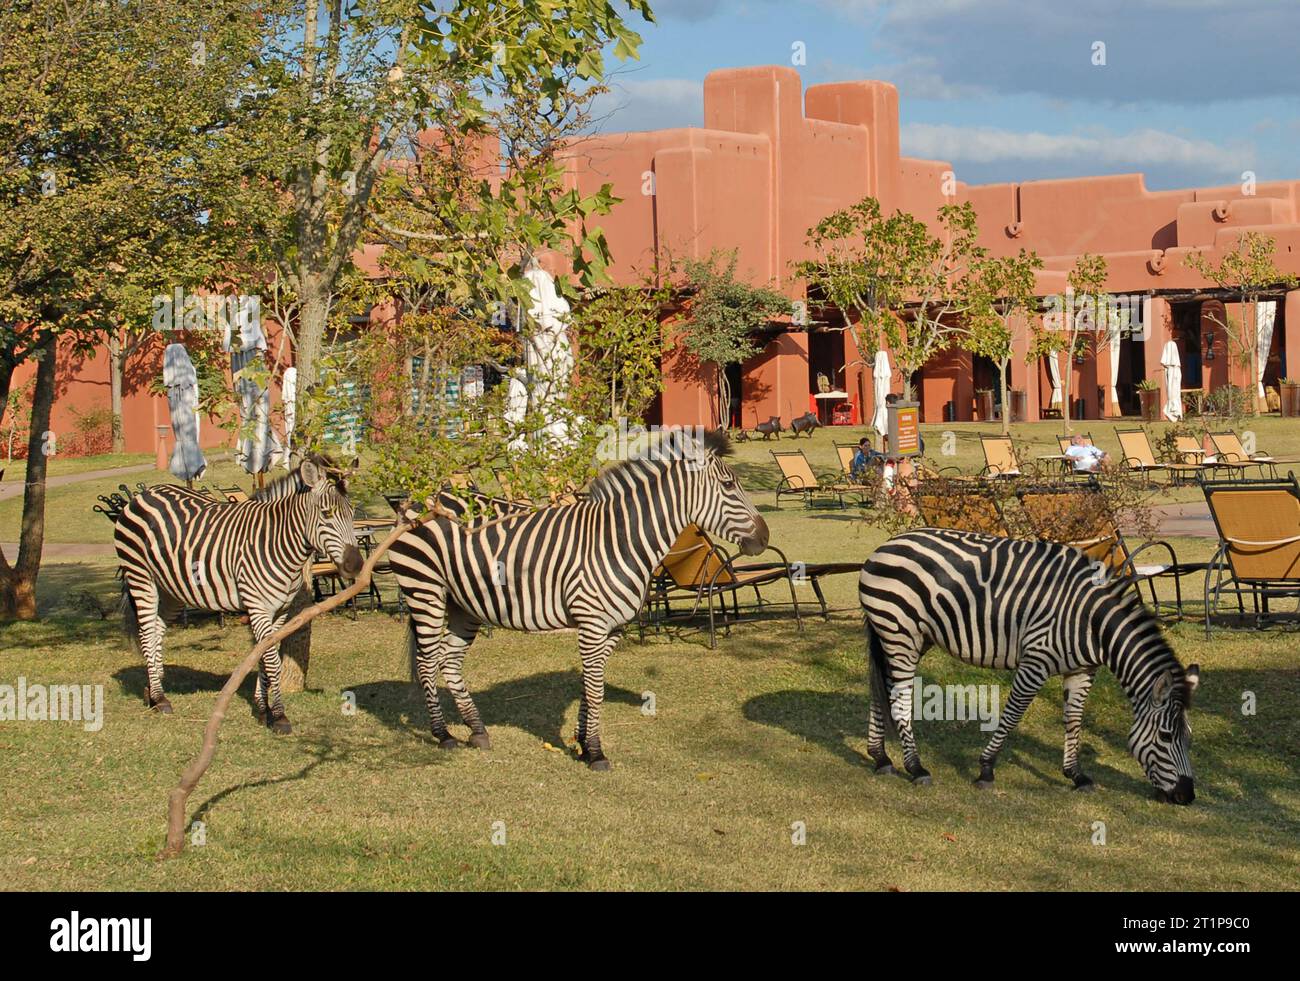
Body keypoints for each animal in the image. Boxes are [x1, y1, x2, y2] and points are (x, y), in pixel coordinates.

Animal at [114, 457, 361, 732]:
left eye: (352, 514)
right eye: (327, 514)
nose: (356, 565)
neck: (278, 541)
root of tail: (146, 493)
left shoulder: (279, 610)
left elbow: (263, 656)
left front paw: (263, 710)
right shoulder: (258, 606)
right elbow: (272, 661)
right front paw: (280, 715)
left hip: (170, 590)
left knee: (157, 630)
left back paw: (153, 691)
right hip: (141, 576)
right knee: (147, 633)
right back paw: (159, 698)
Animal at [390, 433, 764, 769]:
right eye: (729, 485)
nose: (764, 537)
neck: (622, 539)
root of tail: (421, 500)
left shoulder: (611, 629)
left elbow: (588, 685)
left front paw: (583, 743)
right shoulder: (592, 623)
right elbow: (595, 689)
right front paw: (596, 753)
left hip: (463, 604)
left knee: (449, 662)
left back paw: (477, 730)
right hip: (425, 590)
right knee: (426, 663)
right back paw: (443, 734)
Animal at [857, 530, 1201, 805]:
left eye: (1188, 737)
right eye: (1166, 736)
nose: (1186, 796)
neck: (1094, 623)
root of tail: (885, 546)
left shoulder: (1082, 669)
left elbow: (1074, 721)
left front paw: (1076, 774)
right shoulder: (1036, 659)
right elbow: (1012, 715)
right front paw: (986, 769)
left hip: (912, 638)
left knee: (880, 691)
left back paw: (881, 758)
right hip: (900, 633)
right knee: (899, 700)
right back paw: (915, 768)